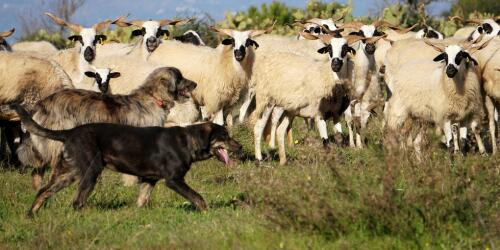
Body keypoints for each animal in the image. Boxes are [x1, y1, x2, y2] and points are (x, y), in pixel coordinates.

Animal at [12, 103, 243, 217]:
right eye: (224, 136)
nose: (240, 147)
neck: (188, 142)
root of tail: (69, 133)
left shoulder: (149, 180)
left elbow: (141, 201)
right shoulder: (174, 180)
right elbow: (197, 197)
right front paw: (208, 213)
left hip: (67, 173)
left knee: (43, 192)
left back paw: (30, 216)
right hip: (90, 172)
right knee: (77, 202)